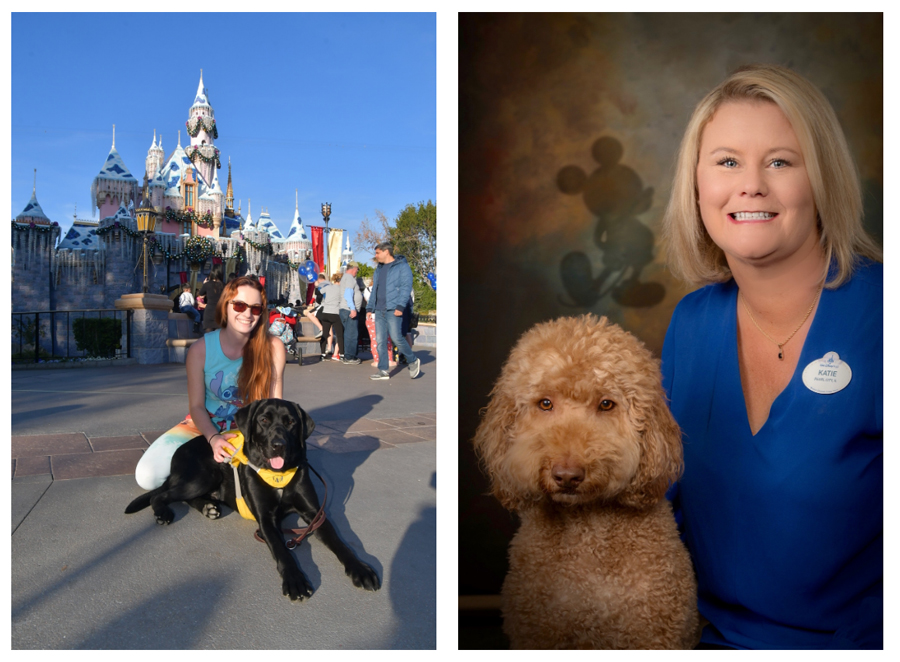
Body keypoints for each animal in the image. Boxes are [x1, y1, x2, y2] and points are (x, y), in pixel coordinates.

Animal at [474, 318, 700, 652]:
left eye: (606, 404)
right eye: (545, 403)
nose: (567, 475)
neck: (586, 533)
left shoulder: (652, 634)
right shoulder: (535, 633)